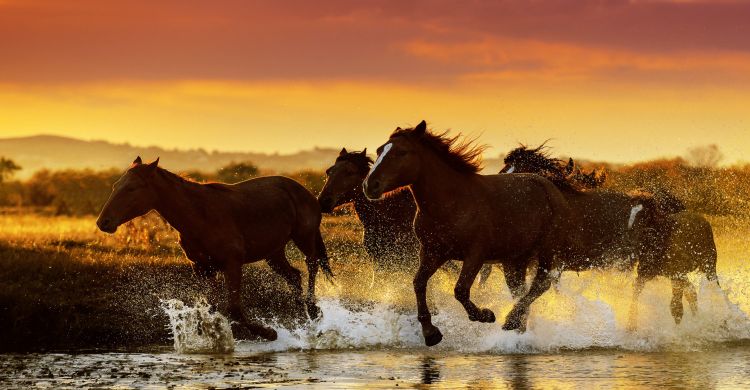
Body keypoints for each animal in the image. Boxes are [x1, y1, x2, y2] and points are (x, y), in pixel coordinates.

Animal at [96, 157, 332, 340]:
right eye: (116, 186)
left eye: (131, 188)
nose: (103, 222)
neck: (199, 215)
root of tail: (305, 192)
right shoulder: (203, 268)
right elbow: (211, 308)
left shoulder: (232, 264)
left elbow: (234, 309)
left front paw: (269, 333)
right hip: (273, 253)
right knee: (294, 276)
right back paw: (305, 321)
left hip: (304, 237)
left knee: (311, 265)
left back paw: (314, 311)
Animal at [362, 120, 580, 346]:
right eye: (379, 150)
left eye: (402, 152)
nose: (370, 185)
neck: (451, 204)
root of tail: (551, 188)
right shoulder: (432, 252)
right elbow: (419, 283)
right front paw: (431, 333)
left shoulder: (475, 255)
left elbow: (460, 290)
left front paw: (485, 315)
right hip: (515, 260)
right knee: (520, 291)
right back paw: (518, 329)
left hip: (547, 251)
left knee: (541, 285)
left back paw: (510, 320)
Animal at [502, 145, 720, 328]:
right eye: (505, 170)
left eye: (520, 171)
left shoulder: (553, 263)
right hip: (659, 267)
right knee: (687, 290)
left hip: (658, 265)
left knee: (683, 290)